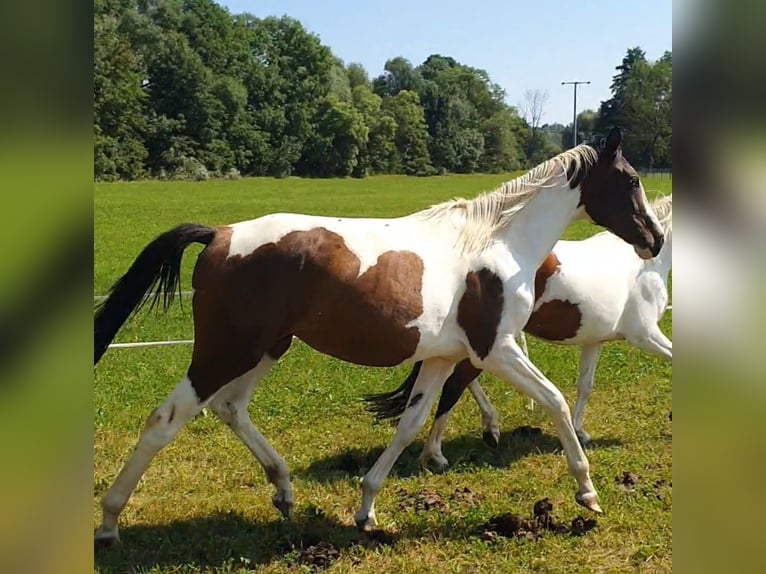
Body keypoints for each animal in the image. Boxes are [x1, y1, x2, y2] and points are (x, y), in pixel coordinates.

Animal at [364, 194, 672, 469]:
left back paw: (484, 430)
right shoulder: (645, 335)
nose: (654, 244)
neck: (644, 268)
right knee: (456, 384)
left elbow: (585, 385)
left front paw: (579, 431)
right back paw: (446, 450)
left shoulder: (594, 341)